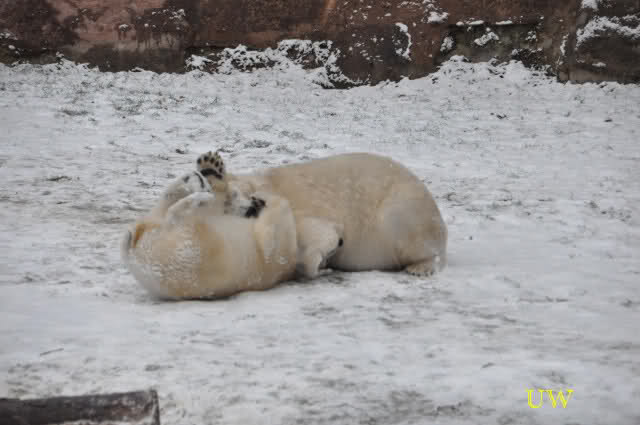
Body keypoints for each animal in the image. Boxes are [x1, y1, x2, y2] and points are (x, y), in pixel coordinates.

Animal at [121, 157, 298, 300]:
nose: (252, 205)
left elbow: (271, 239)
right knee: (166, 208)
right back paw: (195, 182)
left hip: (187, 252)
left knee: (173, 215)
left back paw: (199, 194)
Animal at [196, 151, 448, 279]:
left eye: (233, 195)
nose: (251, 208)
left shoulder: (298, 204)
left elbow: (318, 230)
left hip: (403, 208)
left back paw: (420, 267)